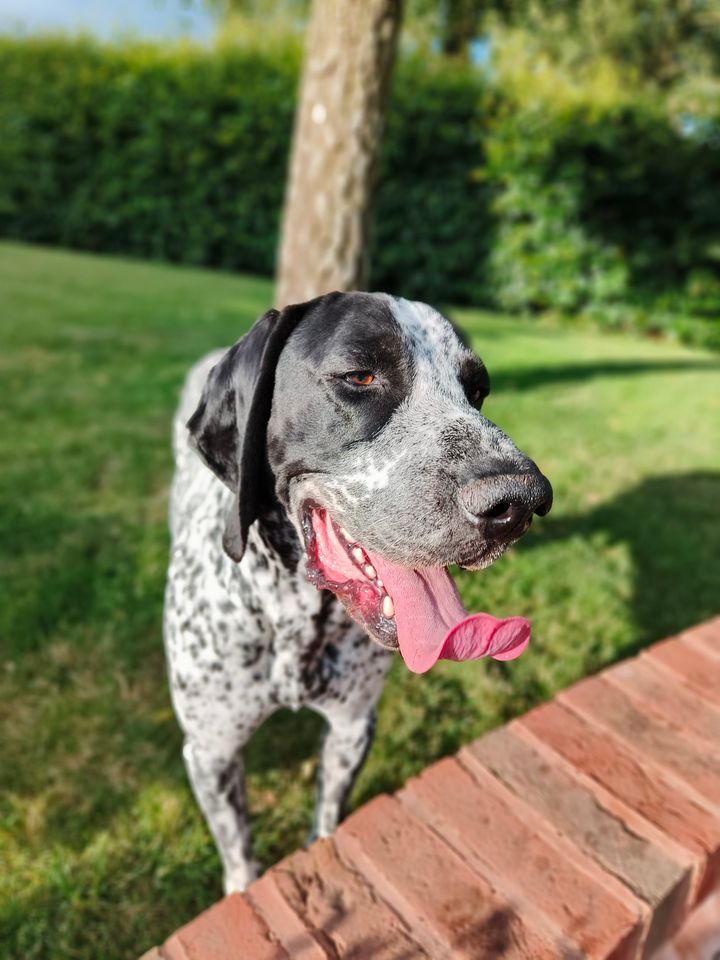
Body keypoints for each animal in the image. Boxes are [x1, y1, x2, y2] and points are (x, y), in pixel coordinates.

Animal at [164, 291, 552, 892]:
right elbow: (241, 861)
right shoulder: (211, 752)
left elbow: (327, 825)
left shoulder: (352, 727)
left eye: (477, 391)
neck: (292, 619)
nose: (523, 500)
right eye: (360, 376)